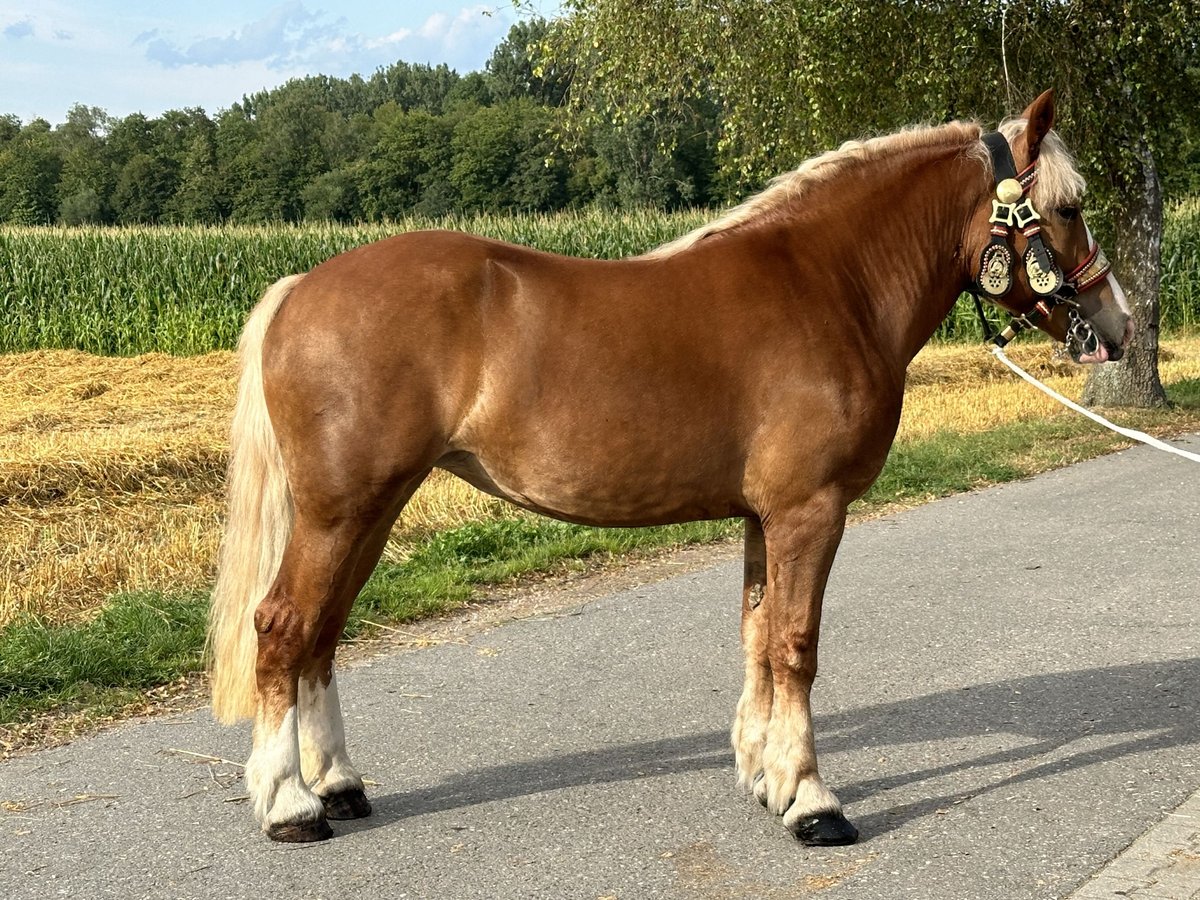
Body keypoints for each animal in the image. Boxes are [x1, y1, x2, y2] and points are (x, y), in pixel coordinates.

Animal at [208, 91, 1132, 844]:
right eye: (1070, 206)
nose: (1118, 326)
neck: (833, 284)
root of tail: (300, 286)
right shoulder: (810, 510)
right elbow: (797, 644)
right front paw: (812, 802)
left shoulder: (766, 517)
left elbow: (759, 638)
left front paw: (765, 776)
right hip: (342, 510)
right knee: (284, 626)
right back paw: (290, 805)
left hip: (373, 509)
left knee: (323, 634)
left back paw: (338, 785)